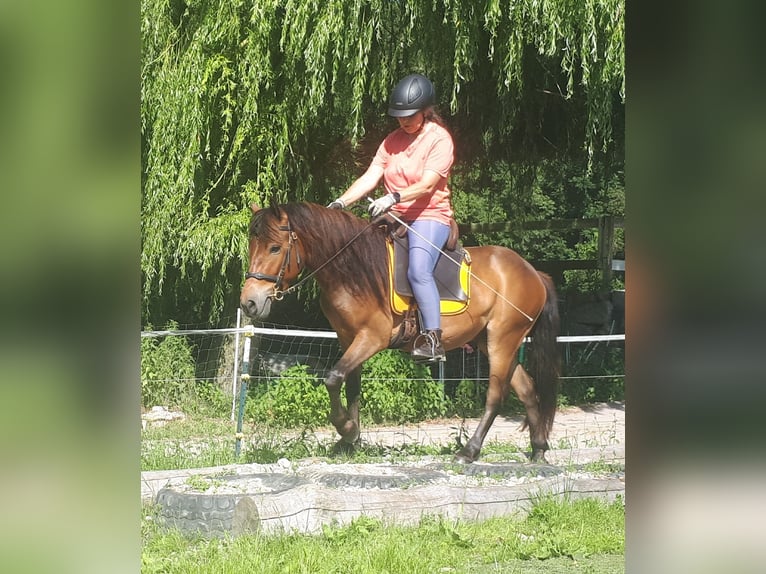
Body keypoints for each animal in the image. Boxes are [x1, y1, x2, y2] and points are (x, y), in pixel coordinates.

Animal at [243, 202, 560, 464]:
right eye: (251, 246)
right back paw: (538, 449)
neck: (352, 270)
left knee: (495, 395)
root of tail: (533, 272)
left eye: (275, 248)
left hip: (501, 341)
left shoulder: (372, 338)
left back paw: (469, 451)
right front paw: (349, 440)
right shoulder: (348, 338)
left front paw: (346, 429)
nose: (249, 302)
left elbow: (332, 378)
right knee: (527, 389)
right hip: (492, 340)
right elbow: (351, 385)